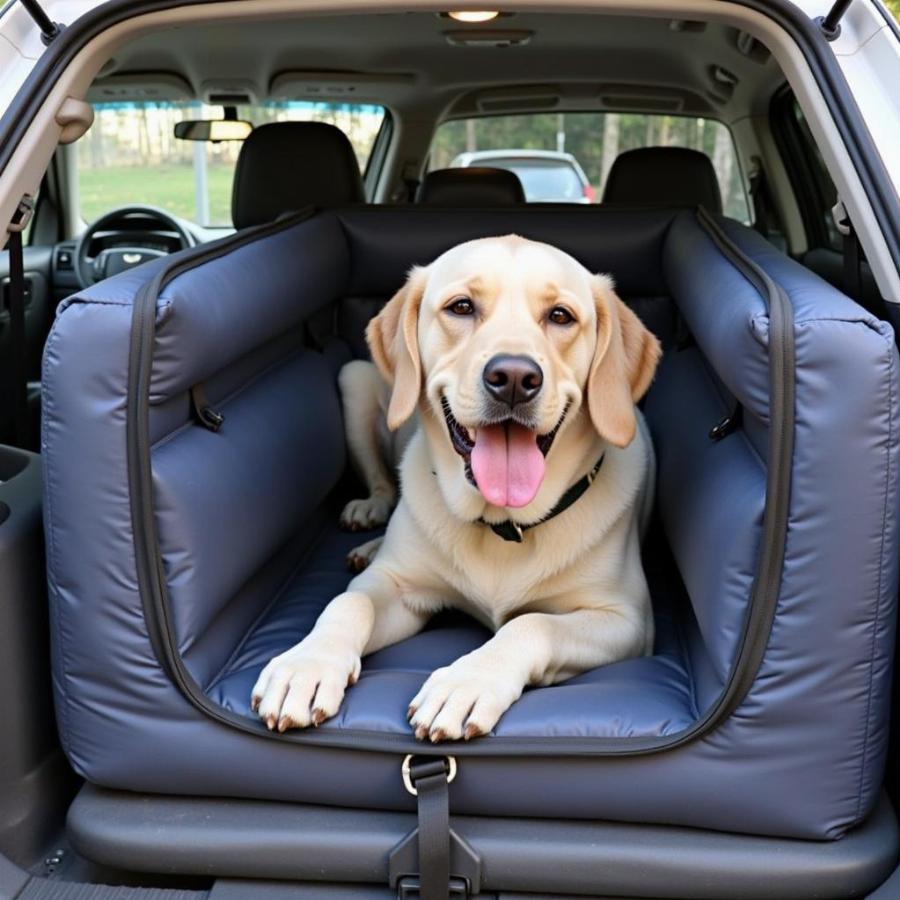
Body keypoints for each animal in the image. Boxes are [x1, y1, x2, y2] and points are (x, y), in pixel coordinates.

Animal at [253, 236, 660, 740]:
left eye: (561, 316)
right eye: (461, 307)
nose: (514, 378)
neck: (501, 525)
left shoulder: (626, 620)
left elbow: (531, 624)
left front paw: (468, 683)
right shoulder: (396, 587)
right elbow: (350, 602)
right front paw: (306, 665)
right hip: (354, 380)